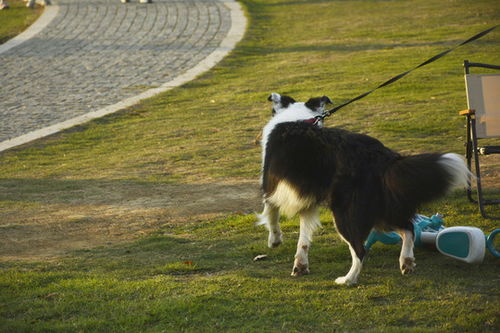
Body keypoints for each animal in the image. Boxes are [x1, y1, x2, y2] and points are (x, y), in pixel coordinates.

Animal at [258, 92, 468, 284]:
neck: (299, 117)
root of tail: (381, 156)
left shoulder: (271, 187)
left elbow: (271, 214)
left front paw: (274, 240)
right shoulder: (306, 201)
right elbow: (303, 239)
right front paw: (300, 265)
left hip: (346, 212)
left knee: (360, 250)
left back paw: (348, 279)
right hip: (382, 205)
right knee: (408, 228)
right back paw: (406, 261)